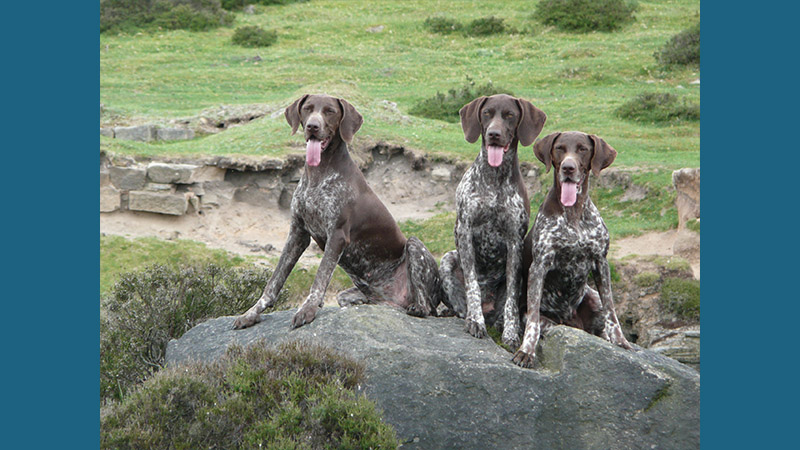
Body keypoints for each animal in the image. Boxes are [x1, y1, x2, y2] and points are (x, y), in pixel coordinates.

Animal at [233, 94, 444, 330]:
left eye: (330, 111)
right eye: (307, 109)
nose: (312, 126)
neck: (318, 175)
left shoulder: (337, 235)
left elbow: (320, 277)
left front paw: (307, 309)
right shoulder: (297, 234)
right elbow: (274, 281)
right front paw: (251, 313)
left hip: (415, 246)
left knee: (425, 306)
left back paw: (417, 307)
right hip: (352, 296)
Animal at [440, 94, 548, 348]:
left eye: (510, 115)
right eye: (487, 113)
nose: (494, 134)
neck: (494, 179)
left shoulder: (515, 242)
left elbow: (510, 298)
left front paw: (511, 332)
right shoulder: (465, 232)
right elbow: (471, 285)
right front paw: (475, 321)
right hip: (447, 259)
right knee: (461, 302)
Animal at [512, 131, 636, 370]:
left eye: (582, 149)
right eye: (560, 148)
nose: (568, 168)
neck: (574, 213)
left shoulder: (600, 262)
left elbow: (612, 311)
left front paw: (620, 341)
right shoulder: (539, 266)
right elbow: (533, 320)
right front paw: (527, 351)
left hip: (592, 297)